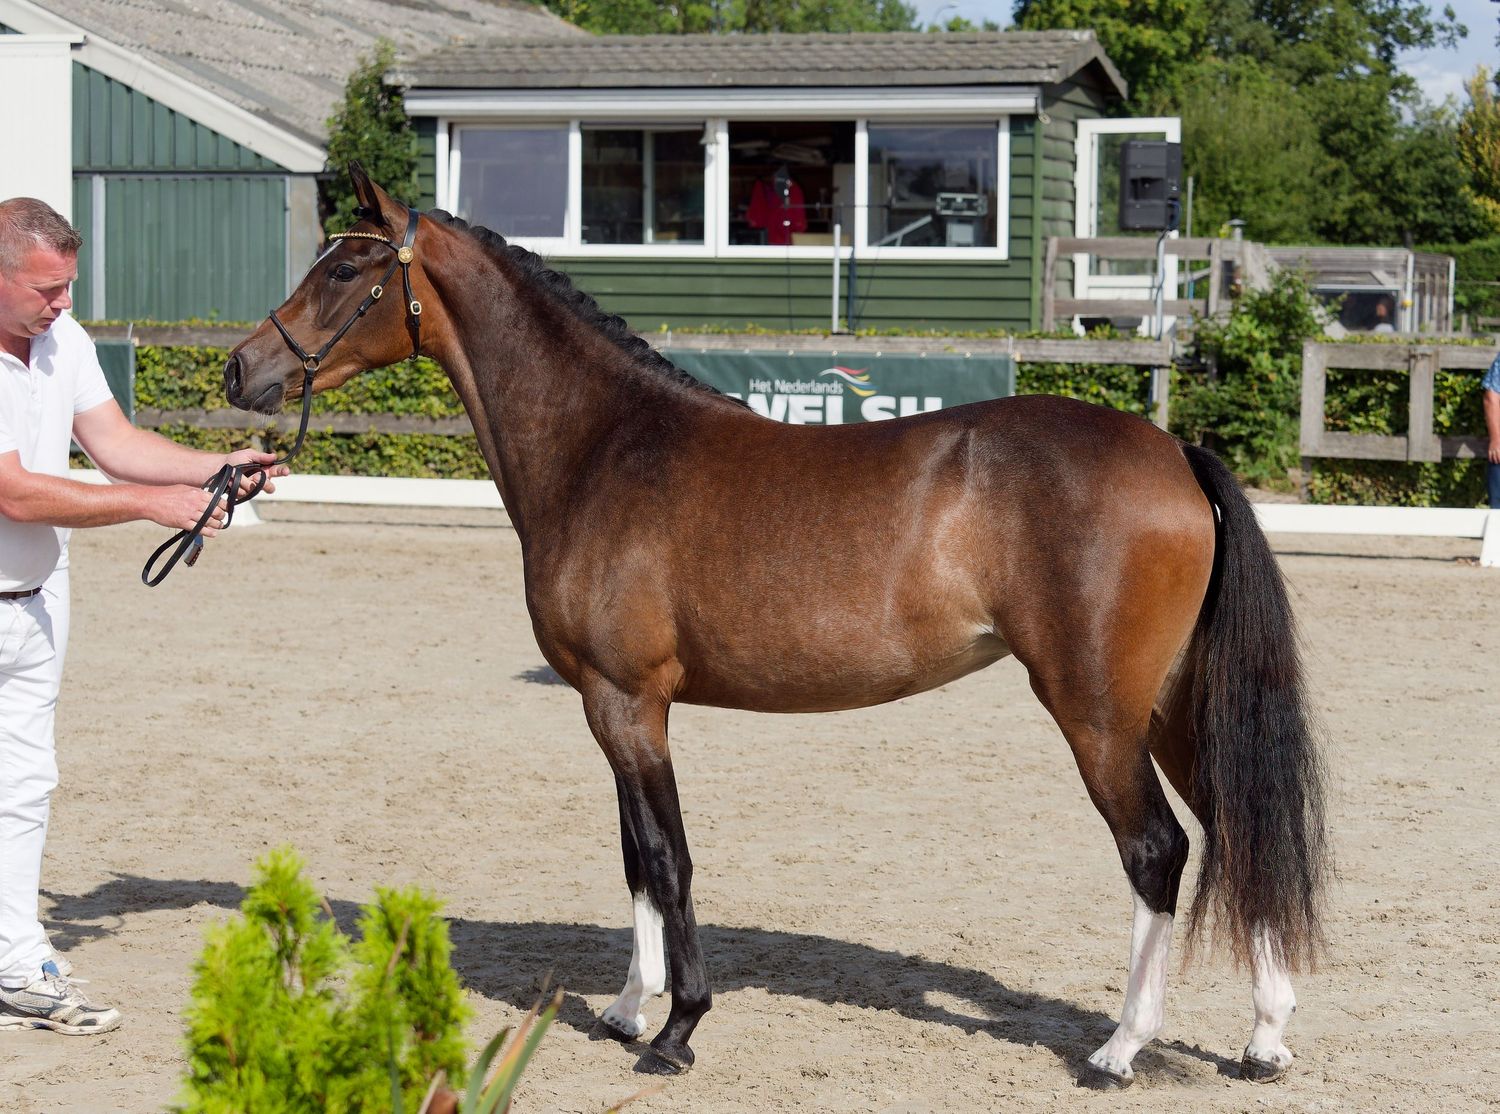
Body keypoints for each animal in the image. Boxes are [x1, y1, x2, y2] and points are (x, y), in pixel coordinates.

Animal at [224, 165, 1328, 1089]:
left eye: (348, 267)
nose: (240, 370)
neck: (603, 447)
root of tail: (1176, 453)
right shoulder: (610, 706)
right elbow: (634, 857)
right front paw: (627, 1008)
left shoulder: (629, 703)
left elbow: (668, 857)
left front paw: (677, 1029)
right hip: (1171, 707)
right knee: (1235, 827)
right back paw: (1265, 1039)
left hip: (1096, 712)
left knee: (1158, 852)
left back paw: (1121, 1047)